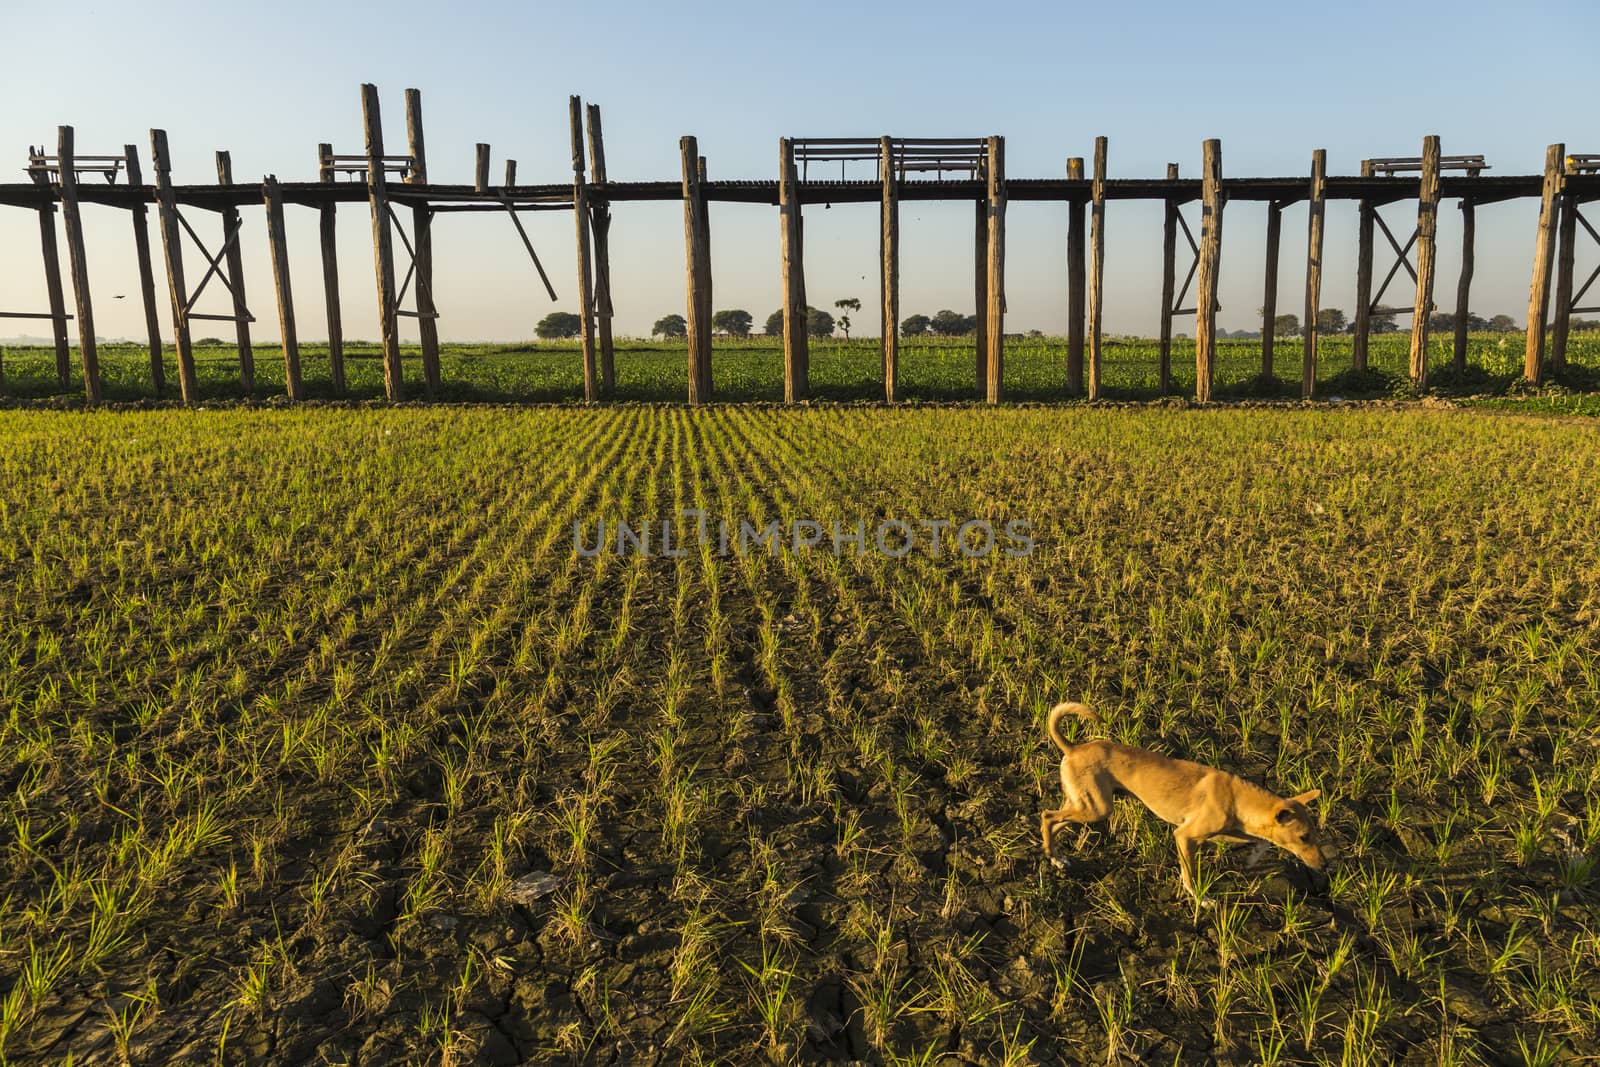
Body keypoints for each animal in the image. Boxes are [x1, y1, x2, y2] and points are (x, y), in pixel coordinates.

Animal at [1036, 703, 1324, 908]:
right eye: (1304, 837)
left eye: (1315, 835)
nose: (1323, 866)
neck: (1239, 798)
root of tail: (1073, 748)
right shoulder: (1185, 836)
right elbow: (1190, 874)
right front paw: (1200, 898)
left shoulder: (1227, 831)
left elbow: (1259, 841)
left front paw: (1253, 857)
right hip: (1097, 808)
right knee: (1048, 816)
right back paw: (1052, 855)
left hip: (1084, 803)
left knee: (1056, 822)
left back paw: (1057, 857)